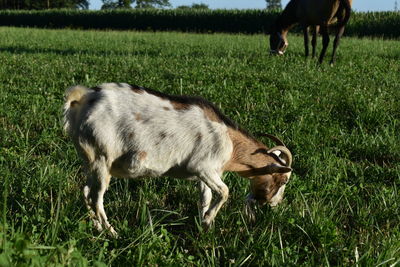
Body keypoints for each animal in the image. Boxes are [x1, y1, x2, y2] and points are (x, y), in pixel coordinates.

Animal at [63, 82, 294, 238]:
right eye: (282, 180)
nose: (275, 204)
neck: (230, 142)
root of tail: (81, 100)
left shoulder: (205, 175)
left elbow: (206, 198)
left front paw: (205, 226)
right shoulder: (203, 167)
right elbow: (224, 192)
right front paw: (208, 219)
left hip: (90, 162)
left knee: (86, 192)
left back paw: (97, 227)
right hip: (101, 159)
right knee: (96, 198)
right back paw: (112, 232)